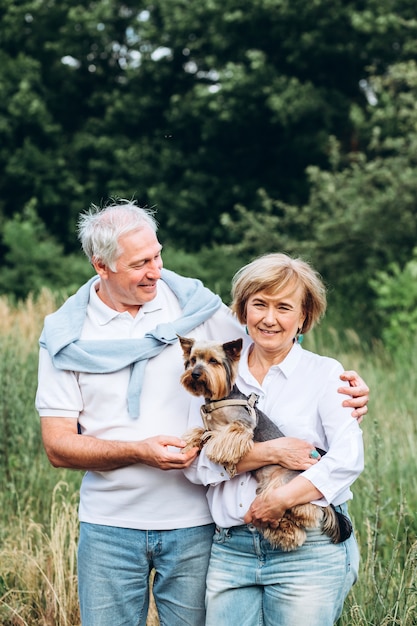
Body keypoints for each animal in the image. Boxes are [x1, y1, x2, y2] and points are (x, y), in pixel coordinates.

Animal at [177, 334, 350, 548]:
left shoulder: (243, 424)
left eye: (213, 361)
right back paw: (284, 532)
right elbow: (201, 432)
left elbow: (227, 435)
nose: (195, 373)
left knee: (307, 508)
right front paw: (190, 443)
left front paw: (218, 449)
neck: (219, 401)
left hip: (284, 483)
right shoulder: (209, 427)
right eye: (193, 360)